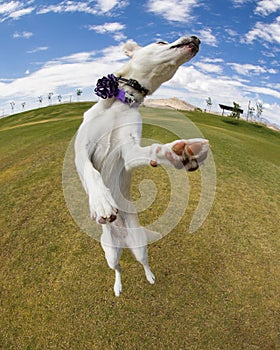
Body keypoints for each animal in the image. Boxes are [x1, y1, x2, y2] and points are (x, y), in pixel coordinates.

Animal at [74, 37, 208, 296]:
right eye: (161, 41)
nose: (196, 39)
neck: (122, 100)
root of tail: (123, 239)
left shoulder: (129, 152)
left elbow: (154, 150)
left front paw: (181, 152)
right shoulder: (80, 151)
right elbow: (91, 171)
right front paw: (101, 201)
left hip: (139, 246)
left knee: (142, 262)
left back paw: (149, 276)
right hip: (110, 253)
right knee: (118, 269)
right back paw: (118, 286)